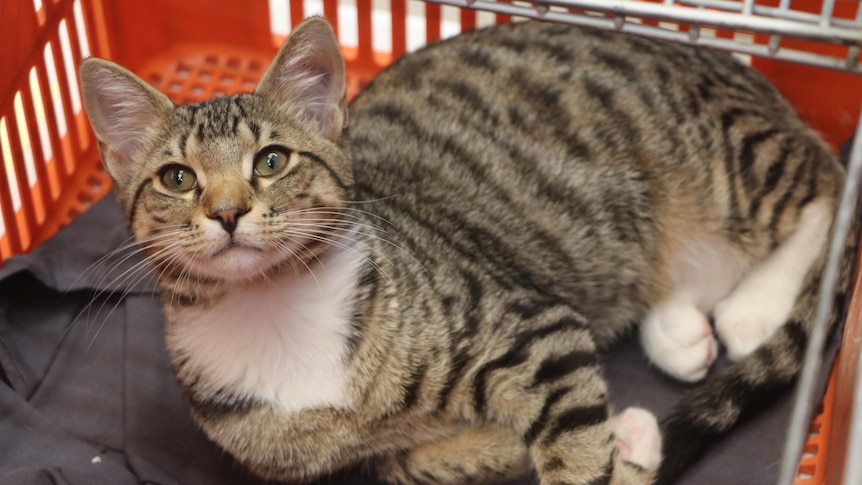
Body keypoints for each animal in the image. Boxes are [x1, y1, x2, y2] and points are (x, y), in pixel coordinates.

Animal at [79, 16, 852, 484]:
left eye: (271, 160)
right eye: (178, 178)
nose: (228, 211)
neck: (274, 312)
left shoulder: (534, 329)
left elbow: (571, 449)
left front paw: (611, 450)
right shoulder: (349, 465)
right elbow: (431, 462)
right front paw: (632, 441)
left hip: (726, 161)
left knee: (831, 189)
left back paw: (756, 307)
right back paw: (680, 331)